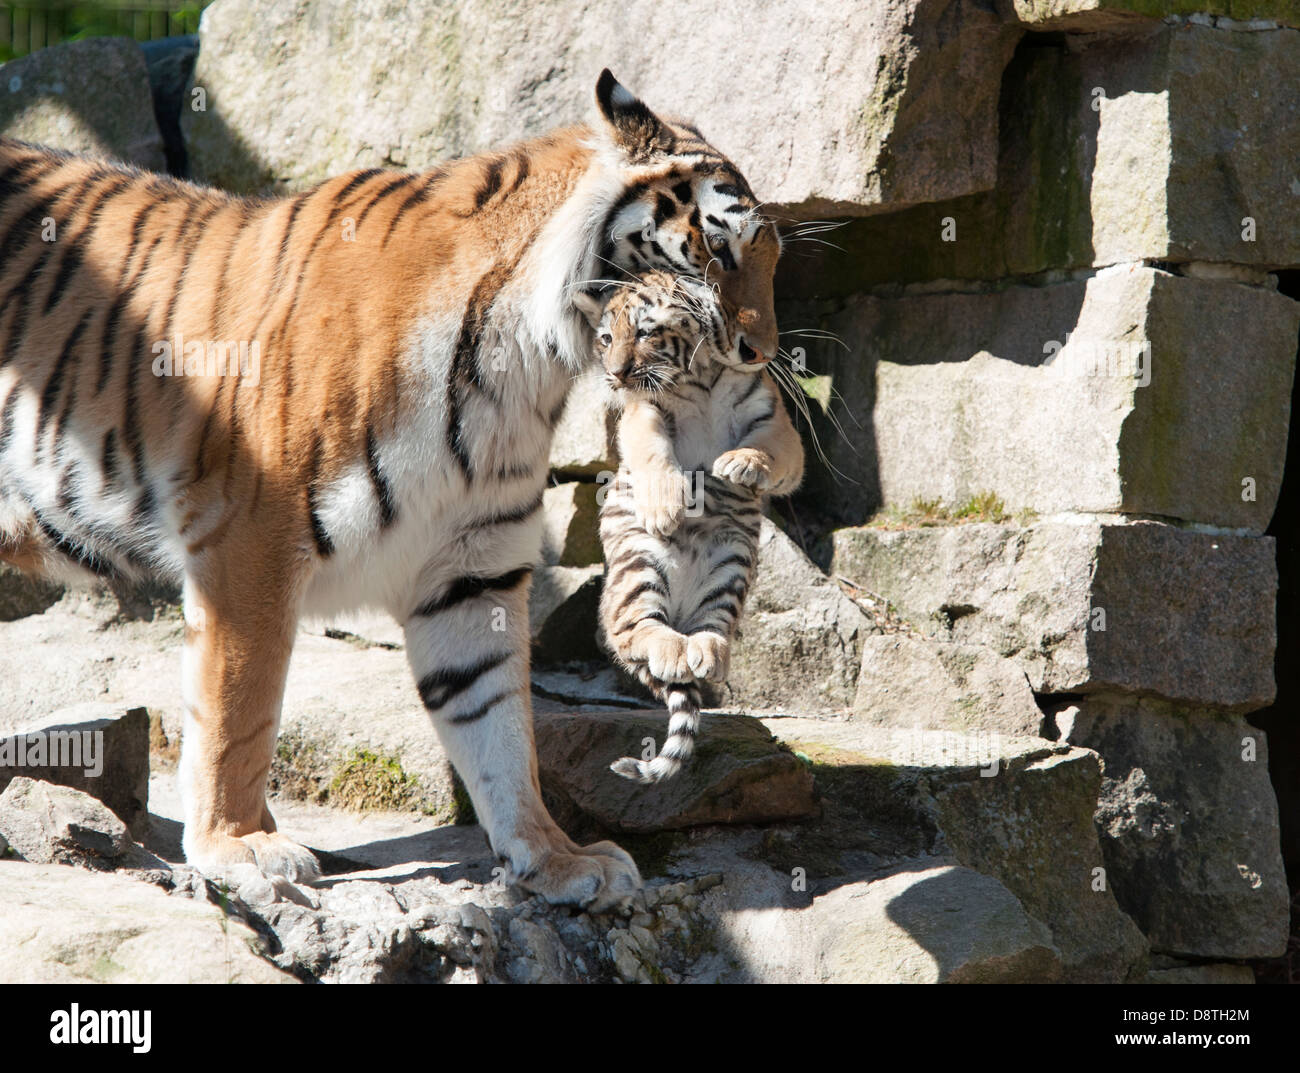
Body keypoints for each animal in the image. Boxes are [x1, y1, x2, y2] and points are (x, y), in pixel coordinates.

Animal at [0, 68, 780, 905]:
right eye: (720, 249)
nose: (761, 352)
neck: (527, 362)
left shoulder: (472, 567)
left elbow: (501, 727)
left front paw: (557, 857)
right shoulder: (248, 540)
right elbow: (238, 709)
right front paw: (240, 845)